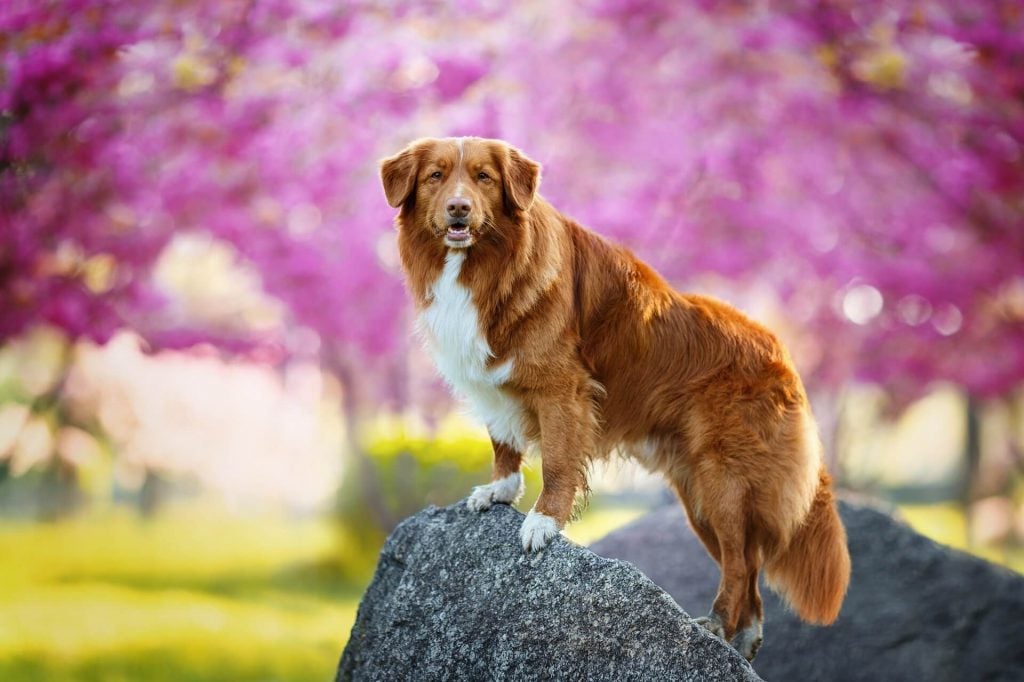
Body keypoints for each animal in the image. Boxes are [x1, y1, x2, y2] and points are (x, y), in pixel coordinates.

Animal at [380, 137, 851, 659]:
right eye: (436, 176)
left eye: (484, 177)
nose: (459, 209)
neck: (483, 265)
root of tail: (782, 353)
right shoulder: (492, 381)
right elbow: (502, 438)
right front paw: (499, 490)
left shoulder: (561, 387)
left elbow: (558, 462)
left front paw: (542, 522)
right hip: (698, 496)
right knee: (748, 564)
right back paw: (739, 640)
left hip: (724, 479)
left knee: (740, 562)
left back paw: (714, 625)